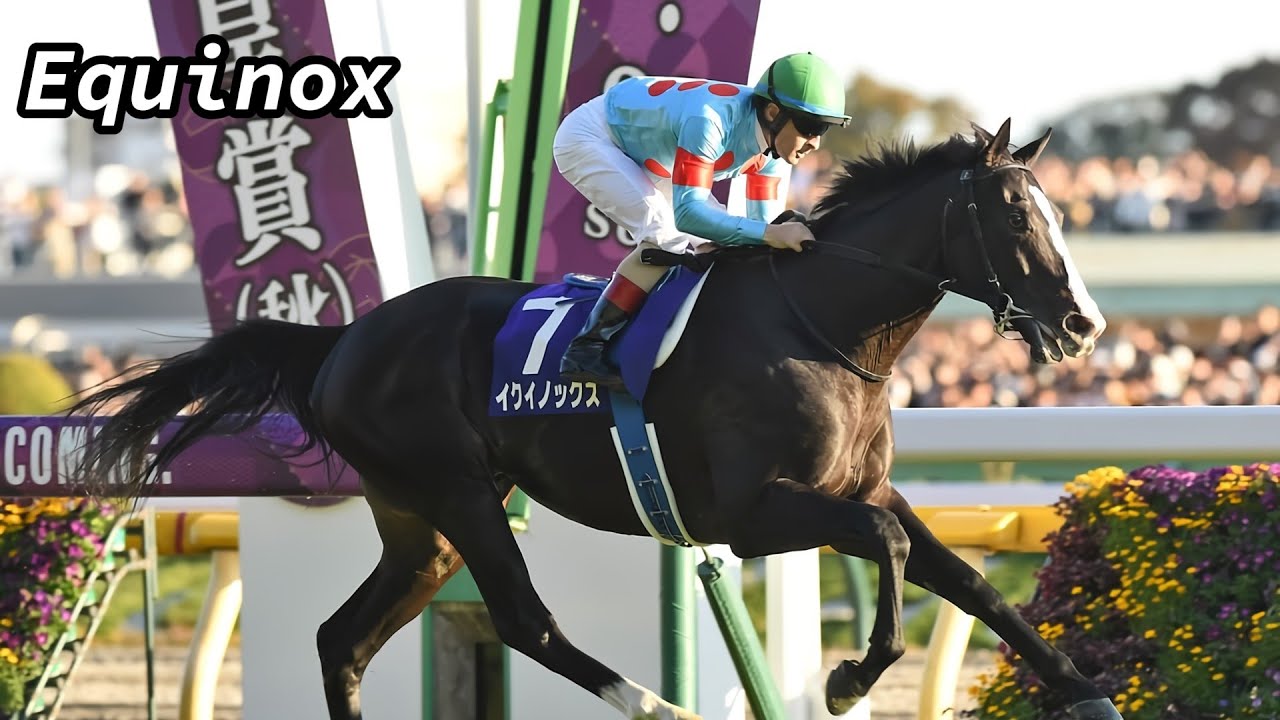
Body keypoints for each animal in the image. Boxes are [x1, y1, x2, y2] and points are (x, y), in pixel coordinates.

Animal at [69, 119, 1121, 720]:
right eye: (1019, 219)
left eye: (1060, 216)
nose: (1084, 324)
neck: (819, 322)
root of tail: (344, 339)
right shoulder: (752, 515)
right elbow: (891, 553)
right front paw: (848, 679)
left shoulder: (867, 487)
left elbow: (965, 580)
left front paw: (1082, 688)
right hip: (459, 493)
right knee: (523, 622)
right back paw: (652, 704)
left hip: (419, 522)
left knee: (343, 640)